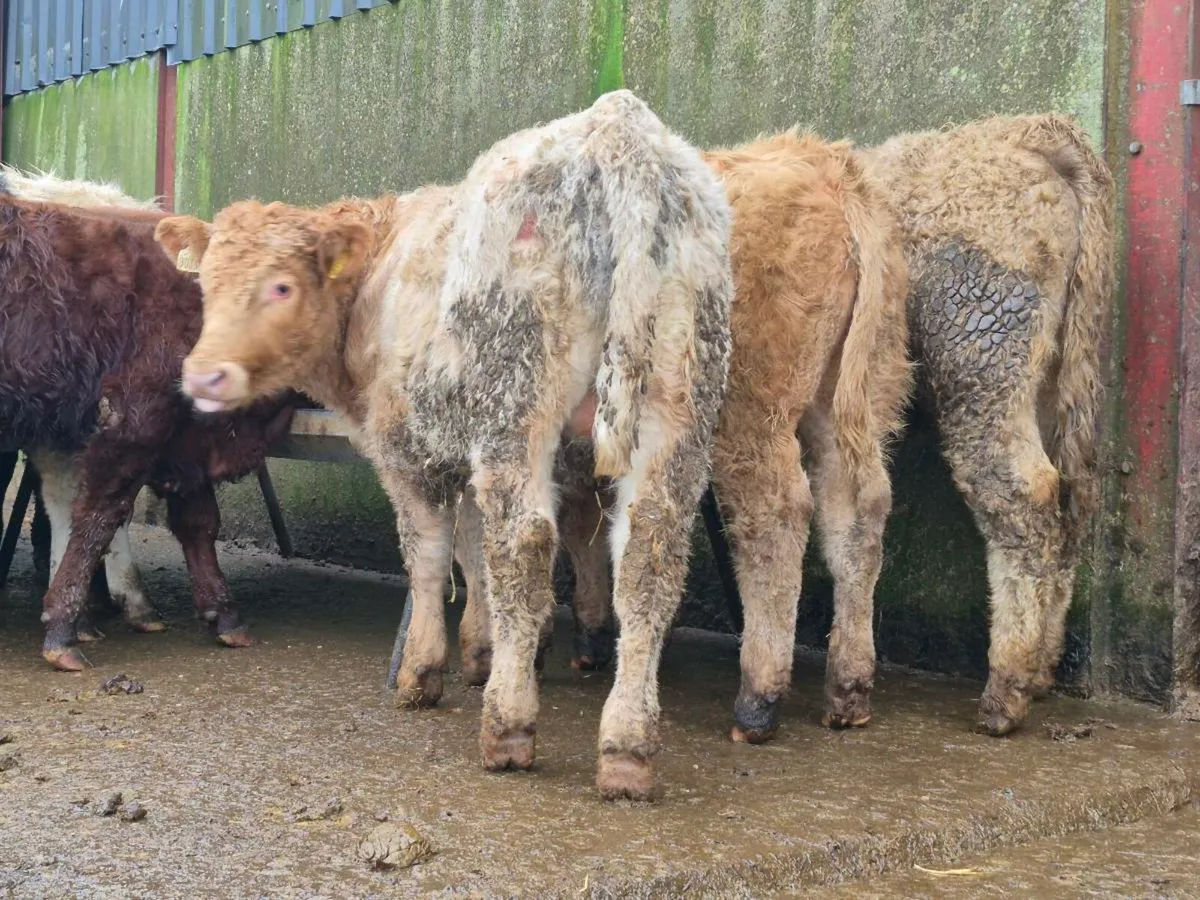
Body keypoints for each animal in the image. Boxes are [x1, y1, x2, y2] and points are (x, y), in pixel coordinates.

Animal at [155, 90, 734, 801]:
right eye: (206, 285)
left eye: (281, 286)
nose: (204, 375)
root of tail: (617, 128)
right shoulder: (467, 454)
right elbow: (473, 551)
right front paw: (483, 651)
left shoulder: (407, 450)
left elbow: (432, 557)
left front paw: (424, 670)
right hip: (674, 399)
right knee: (650, 551)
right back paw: (626, 747)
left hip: (518, 402)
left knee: (525, 541)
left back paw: (509, 726)